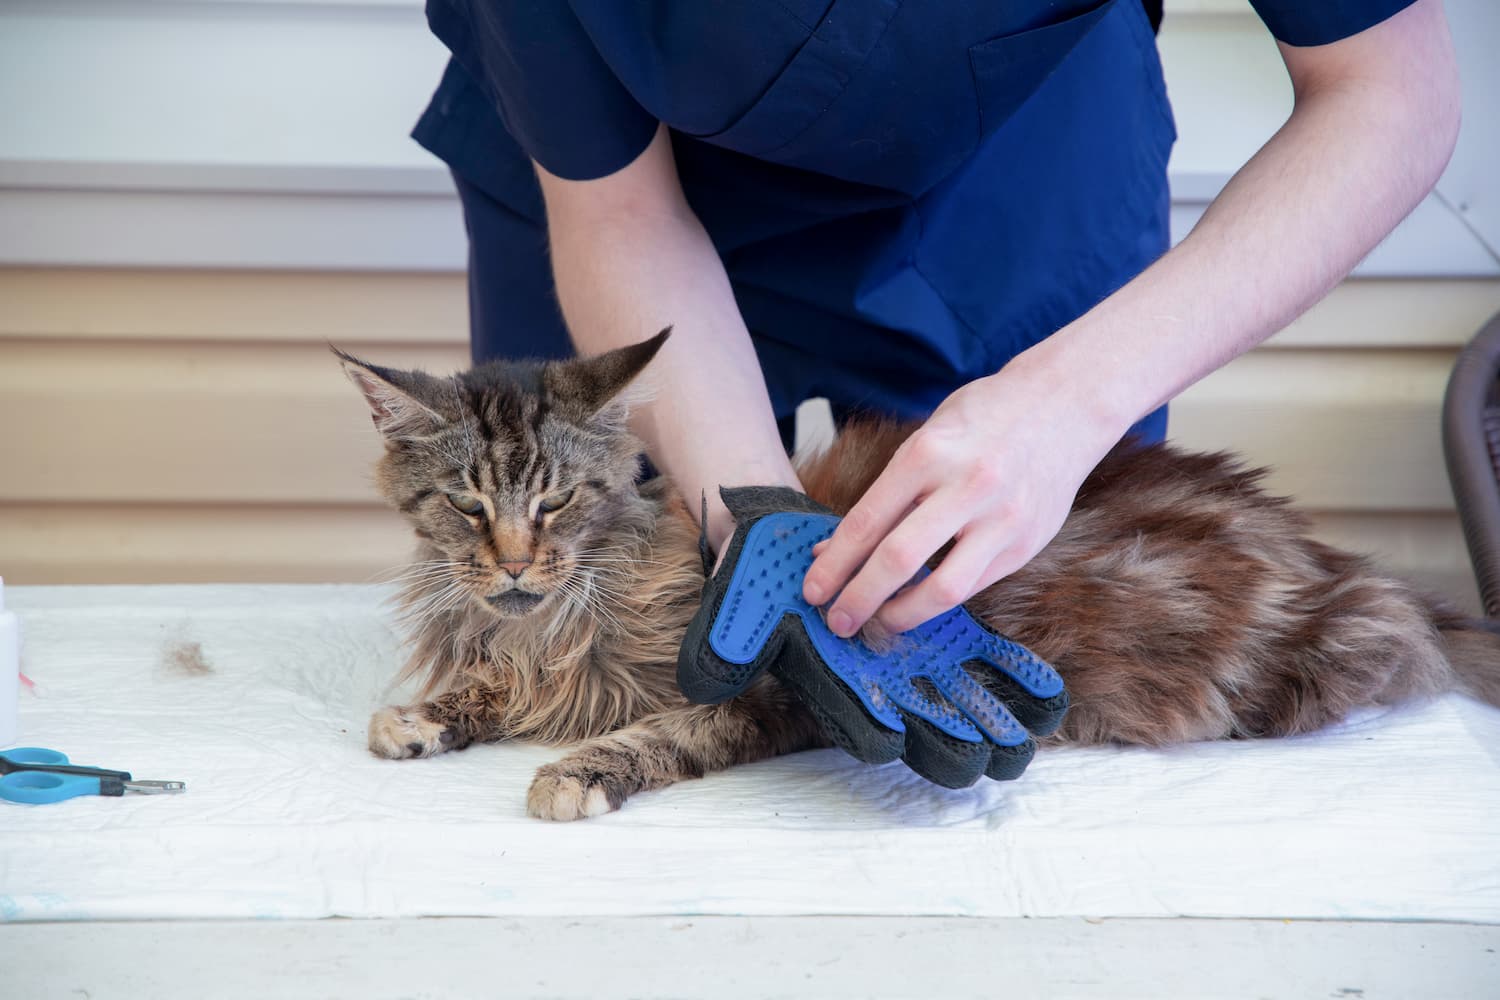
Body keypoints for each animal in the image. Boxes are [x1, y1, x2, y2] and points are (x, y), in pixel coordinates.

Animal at [337, 334, 1500, 821]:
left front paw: (577, 773)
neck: (557, 618)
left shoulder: (760, 698)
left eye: (556, 502)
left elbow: (656, 733)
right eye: (468, 505)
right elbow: (485, 690)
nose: (514, 561)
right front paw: (422, 716)